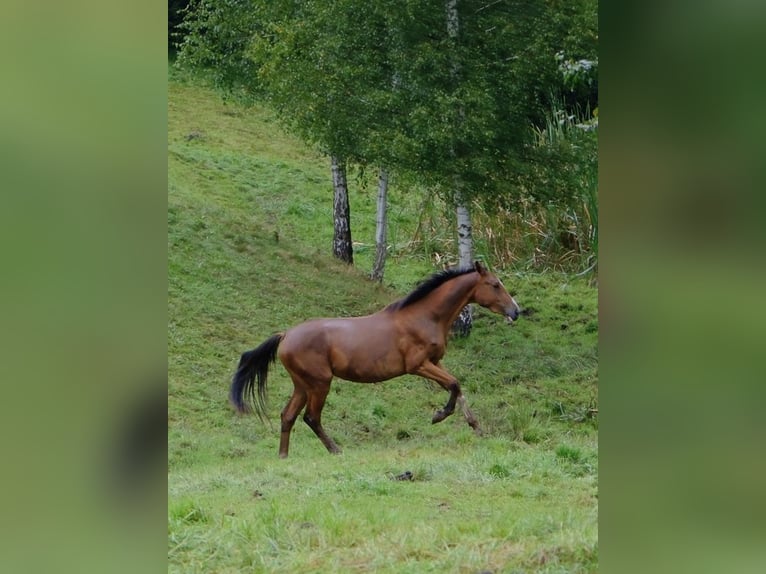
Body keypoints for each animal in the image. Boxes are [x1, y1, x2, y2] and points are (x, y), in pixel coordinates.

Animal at [230, 261, 520, 458]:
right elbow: (454, 384)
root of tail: (286, 335)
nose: (516, 311)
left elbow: (457, 388)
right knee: (311, 418)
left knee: (287, 416)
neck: (424, 317)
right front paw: (439, 416)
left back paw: (284, 456)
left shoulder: (435, 362)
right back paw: (335, 450)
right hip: (319, 383)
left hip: (302, 384)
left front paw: (476, 427)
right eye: (495, 285)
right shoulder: (418, 365)